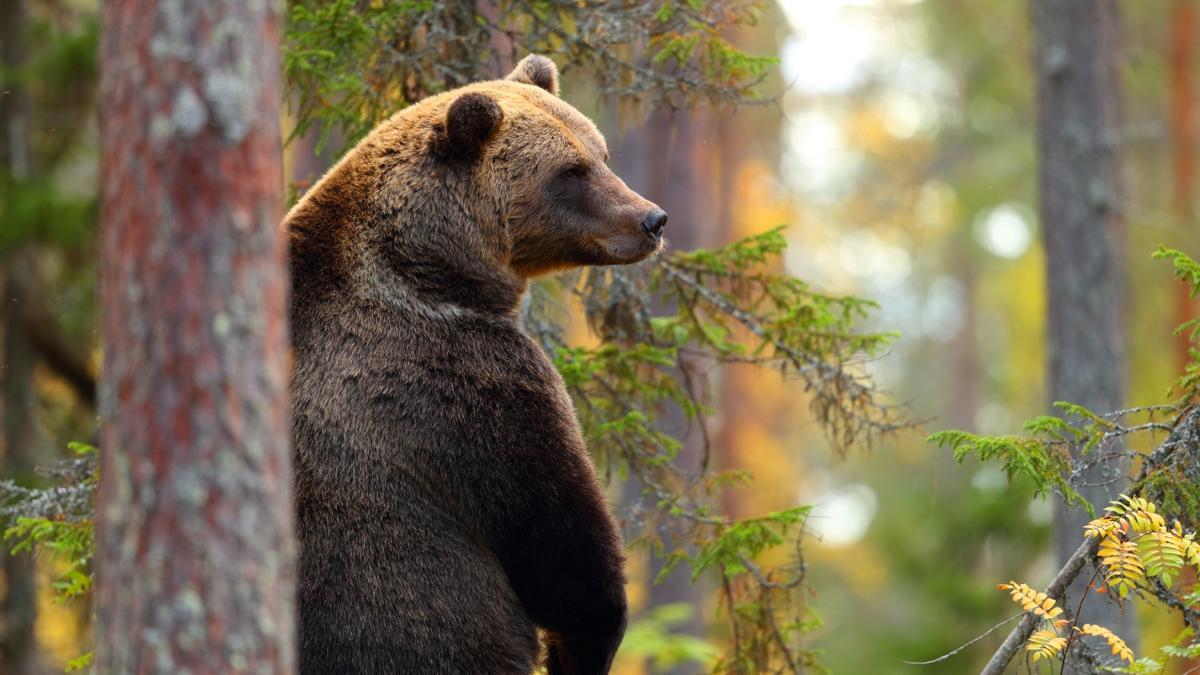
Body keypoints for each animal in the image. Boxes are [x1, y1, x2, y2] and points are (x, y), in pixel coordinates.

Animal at [285, 54, 668, 674]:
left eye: (602, 154)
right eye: (571, 171)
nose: (652, 220)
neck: (432, 270)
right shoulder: (471, 381)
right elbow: (564, 553)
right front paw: (582, 646)